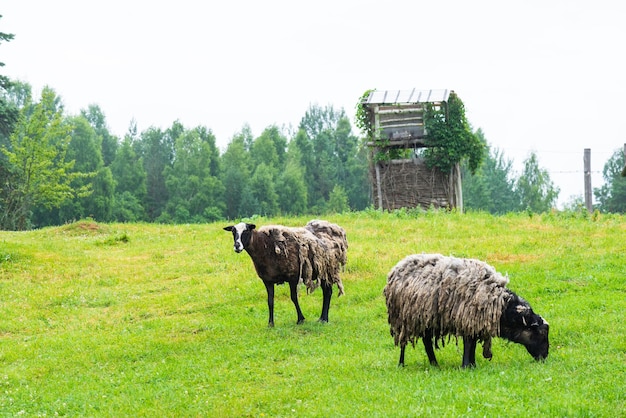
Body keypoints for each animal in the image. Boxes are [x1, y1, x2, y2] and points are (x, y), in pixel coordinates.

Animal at [382, 253, 548, 368]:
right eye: (541, 333)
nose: (545, 356)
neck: (501, 307)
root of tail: (397, 268)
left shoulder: (474, 324)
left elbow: (472, 344)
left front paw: (472, 364)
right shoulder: (469, 319)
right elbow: (469, 344)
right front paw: (467, 365)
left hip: (425, 318)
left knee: (426, 340)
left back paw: (434, 364)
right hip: (403, 318)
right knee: (404, 342)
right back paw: (402, 364)